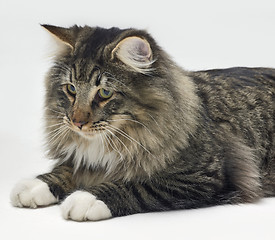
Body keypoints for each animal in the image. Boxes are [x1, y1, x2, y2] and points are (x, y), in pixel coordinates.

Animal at [9, 24, 275, 221]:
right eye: (71, 89)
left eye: (105, 93)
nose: (77, 122)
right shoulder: (83, 159)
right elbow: (64, 170)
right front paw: (34, 186)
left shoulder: (204, 176)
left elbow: (138, 185)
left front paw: (85, 198)